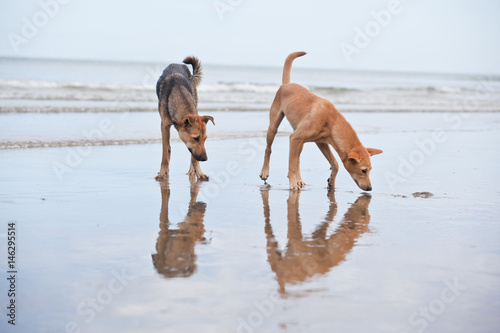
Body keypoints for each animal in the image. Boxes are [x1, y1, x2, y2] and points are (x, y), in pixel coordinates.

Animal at [260, 51, 380, 191]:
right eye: (363, 170)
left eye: (370, 170)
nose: (370, 188)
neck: (332, 121)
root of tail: (286, 85)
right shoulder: (295, 138)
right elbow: (291, 166)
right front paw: (292, 184)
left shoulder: (321, 143)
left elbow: (335, 164)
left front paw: (331, 182)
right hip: (275, 127)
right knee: (269, 149)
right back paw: (265, 172)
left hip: (299, 143)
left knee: (297, 159)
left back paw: (299, 180)